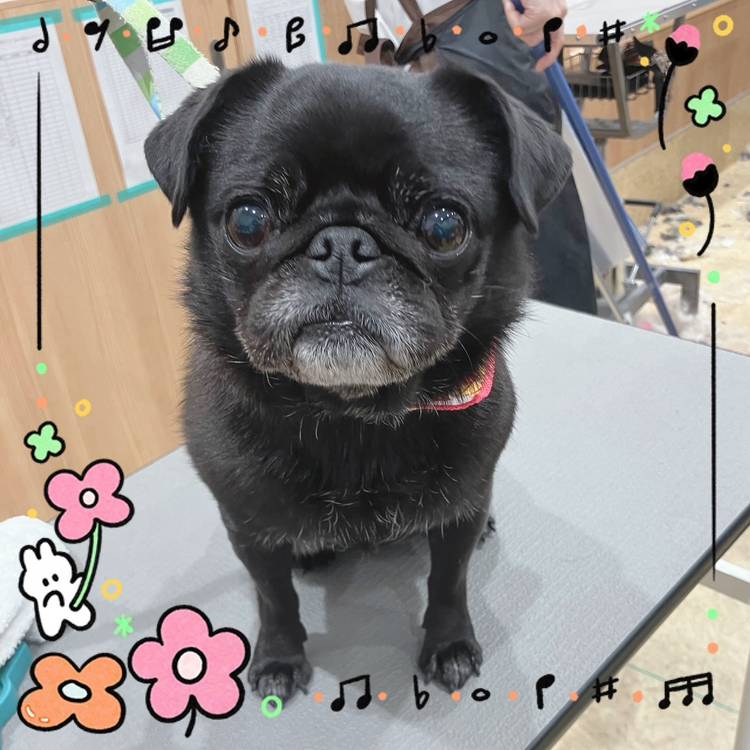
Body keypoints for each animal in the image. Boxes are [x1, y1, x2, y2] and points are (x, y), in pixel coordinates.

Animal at [144, 57, 571, 701]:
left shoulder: (456, 516)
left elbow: (450, 583)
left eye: (444, 227)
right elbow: (274, 598)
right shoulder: (246, 529)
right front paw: (279, 658)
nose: (342, 244)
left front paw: (449, 645)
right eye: (248, 221)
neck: (350, 414)